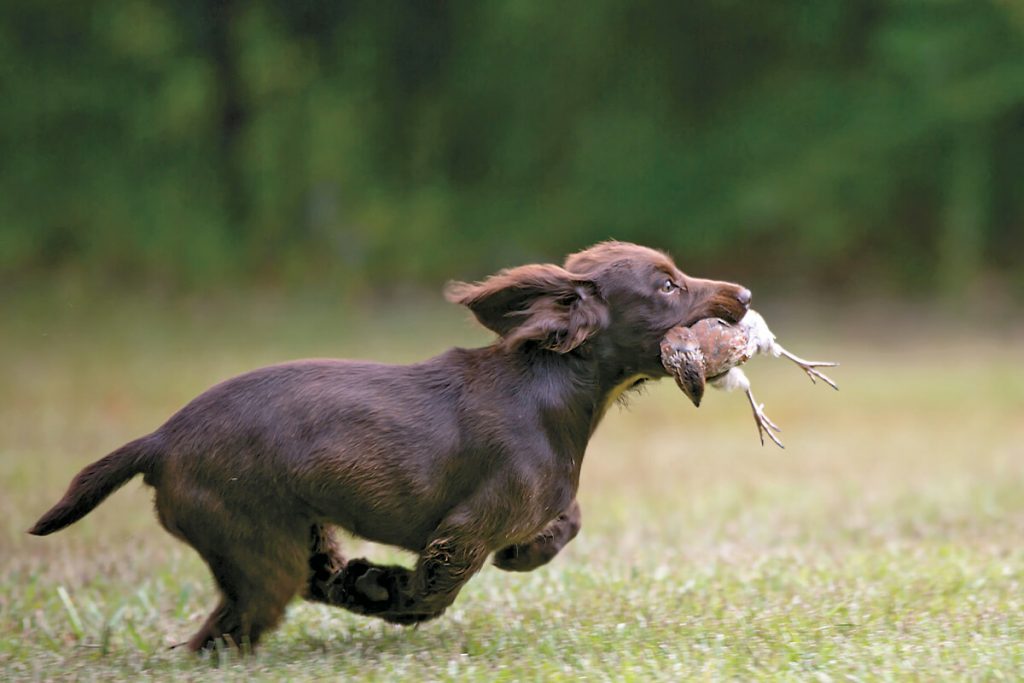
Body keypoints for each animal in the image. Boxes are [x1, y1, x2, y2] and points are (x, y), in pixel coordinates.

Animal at [29, 241, 753, 651]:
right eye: (667, 286)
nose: (744, 293)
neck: (554, 382)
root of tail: (158, 438)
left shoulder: (530, 504)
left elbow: (566, 521)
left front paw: (518, 554)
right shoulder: (467, 526)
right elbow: (437, 589)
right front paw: (394, 593)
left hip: (293, 531)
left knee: (302, 584)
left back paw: (356, 580)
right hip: (258, 548)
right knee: (230, 627)